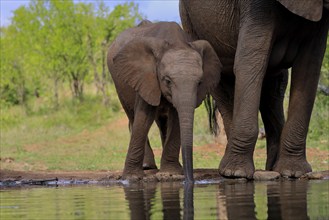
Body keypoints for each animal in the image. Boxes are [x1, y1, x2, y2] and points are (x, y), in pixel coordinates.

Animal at [107, 20, 220, 182]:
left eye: (199, 83)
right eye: (167, 81)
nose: (189, 180)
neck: (177, 42)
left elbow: (176, 118)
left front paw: (170, 174)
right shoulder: (146, 77)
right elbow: (143, 118)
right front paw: (131, 178)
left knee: (162, 123)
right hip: (119, 83)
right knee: (133, 117)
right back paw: (147, 167)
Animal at [179, 0, 328, 179]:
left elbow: (308, 68)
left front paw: (293, 172)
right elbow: (250, 62)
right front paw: (237, 173)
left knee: (274, 90)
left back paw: (272, 168)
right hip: (190, 23)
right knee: (222, 86)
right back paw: (229, 171)